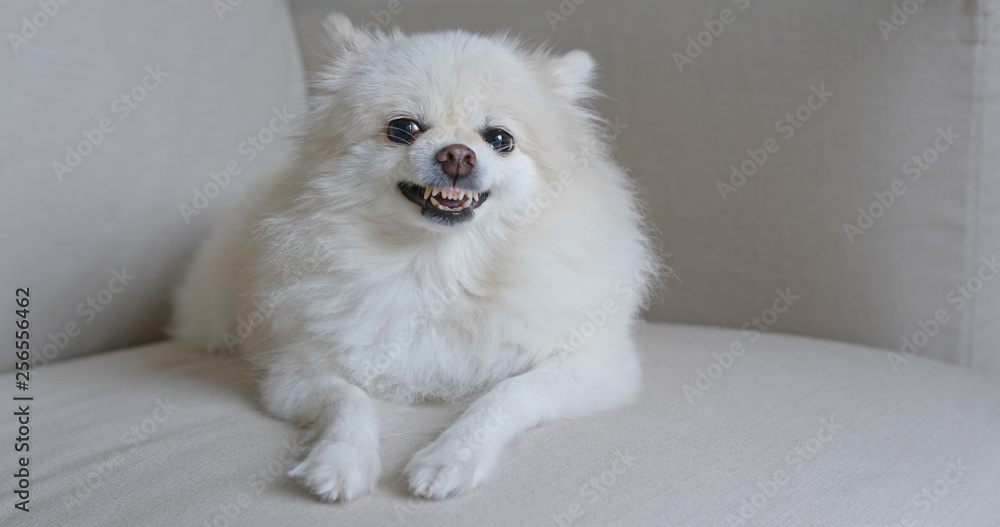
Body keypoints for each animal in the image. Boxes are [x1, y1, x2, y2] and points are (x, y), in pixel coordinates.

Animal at [170, 13, 656, 504]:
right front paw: (339, 461)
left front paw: (451, 458)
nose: (457, 154)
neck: (440, 267)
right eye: (403, 129)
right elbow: (348, 401)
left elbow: (508, 394)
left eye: (500, 139)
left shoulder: (595, 365)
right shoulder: (296, 372)